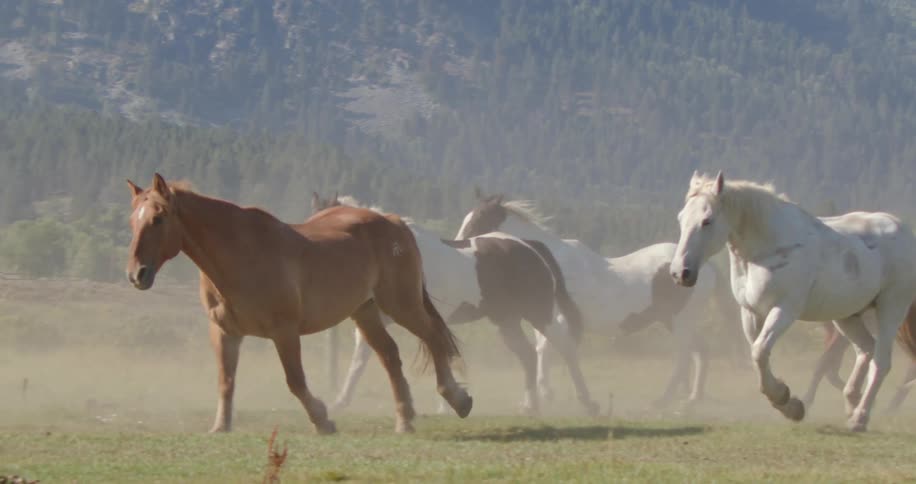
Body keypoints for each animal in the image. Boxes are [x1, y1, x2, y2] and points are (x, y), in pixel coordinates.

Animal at [124, 174, 472, 434]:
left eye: (158, 219)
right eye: (132, 221)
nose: (137, 274)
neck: (241, 253)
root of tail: (393, 221)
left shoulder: (285, 331)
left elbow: (295, 381)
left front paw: (323, 419)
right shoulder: (225, 332)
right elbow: (226, 381)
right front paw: (220, 427)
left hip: (401, 304)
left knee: (432, 337)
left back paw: (457, 399)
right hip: (365, 310)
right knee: (389, 355)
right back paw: (404, 420)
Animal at [310, 192, 599, 416]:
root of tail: (530, 246)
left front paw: (448, 403)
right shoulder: (378, 317)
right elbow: (360, 360)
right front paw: (339, 402)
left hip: (539, 312)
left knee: (565, 347)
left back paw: (588, 403)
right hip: (506, 321)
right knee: (528, 355)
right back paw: (530, 406)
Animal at [456, 190, 743, 409]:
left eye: (479, 219)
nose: (458, 244)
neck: (549, 261)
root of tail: (704, 267)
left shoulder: (558, 316)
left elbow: (548, 349)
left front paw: (547, 394)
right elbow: (543, 349)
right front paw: (544, 394)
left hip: (679, 321)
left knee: (684, 357)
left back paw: (663, 401)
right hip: (675, 321)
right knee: (700, 352)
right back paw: (691, 401)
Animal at [671, 171, 916, 431]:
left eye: (707, 220)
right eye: (681, 218)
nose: (680, 272)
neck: (770, 247)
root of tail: (904, 232)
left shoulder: (784, 310)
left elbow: (759, 351)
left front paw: (784, 399)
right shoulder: (750, 312)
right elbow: (758, 354)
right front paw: (791, 404)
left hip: (891, 309)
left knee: (880, 362)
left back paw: (860, 416)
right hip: (848, 316)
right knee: (865, 349)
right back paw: (852, 401)